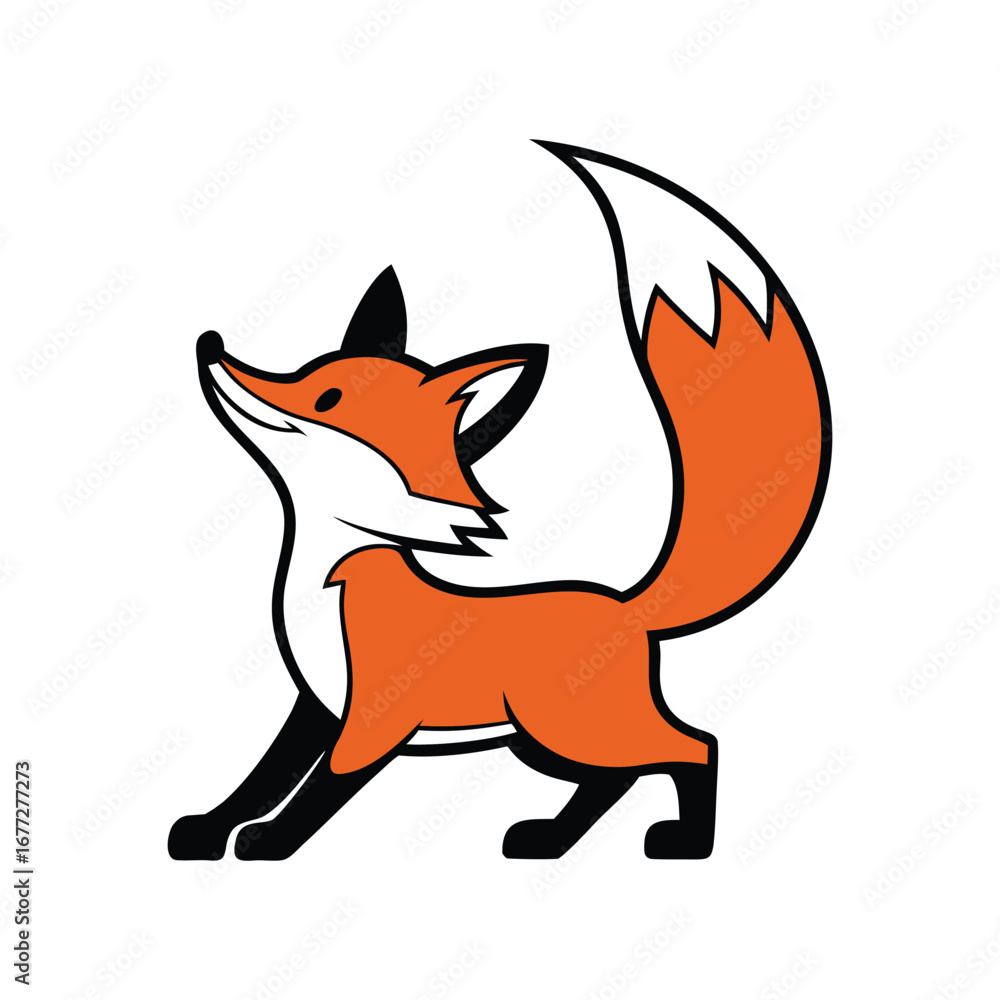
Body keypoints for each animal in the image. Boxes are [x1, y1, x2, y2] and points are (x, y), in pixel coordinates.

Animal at [169, 142, 830, 862]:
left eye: (327, 399)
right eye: (308, 373)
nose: (210, 346)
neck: (327, 576)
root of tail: (630, 607)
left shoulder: (375, 716)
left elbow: (322, 788)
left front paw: (272, 842)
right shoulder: (316, 707)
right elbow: (262, 777)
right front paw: (209, 829)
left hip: (565, 727)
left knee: (692, 747)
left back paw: (681, 842)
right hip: (538, 741)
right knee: (617, 778)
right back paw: (551, 838)